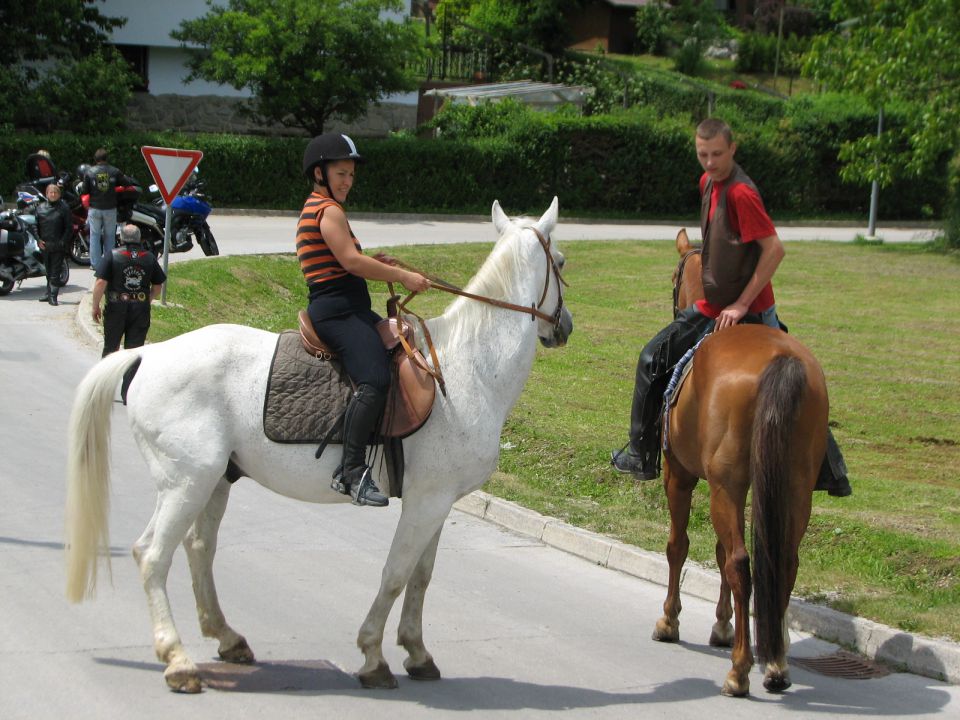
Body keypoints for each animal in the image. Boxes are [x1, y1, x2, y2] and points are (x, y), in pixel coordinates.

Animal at [65, 197, 568, 692]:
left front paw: (417, 653)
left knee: (199, 549)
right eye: (561, 261)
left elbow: (421, 578)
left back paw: (227, 639)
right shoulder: (426, 502)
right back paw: (178, 661)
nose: (564, 326)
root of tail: (148, 353)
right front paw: (373, 657)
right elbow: (395, 575)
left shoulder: (439, 501)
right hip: (186, 482)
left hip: (215, 480)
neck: (468, 369)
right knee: (152, 555)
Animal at [656, 229, 828, 696]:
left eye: (674, 278)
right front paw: (721, 625)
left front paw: (670, 620)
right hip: (793, 486)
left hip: (724, 485)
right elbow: (716, 552)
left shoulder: (679, 475)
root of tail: (780, 363)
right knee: (783, 560)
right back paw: (776, 664)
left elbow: (679, 545)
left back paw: (740, 669)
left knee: (740, 561)